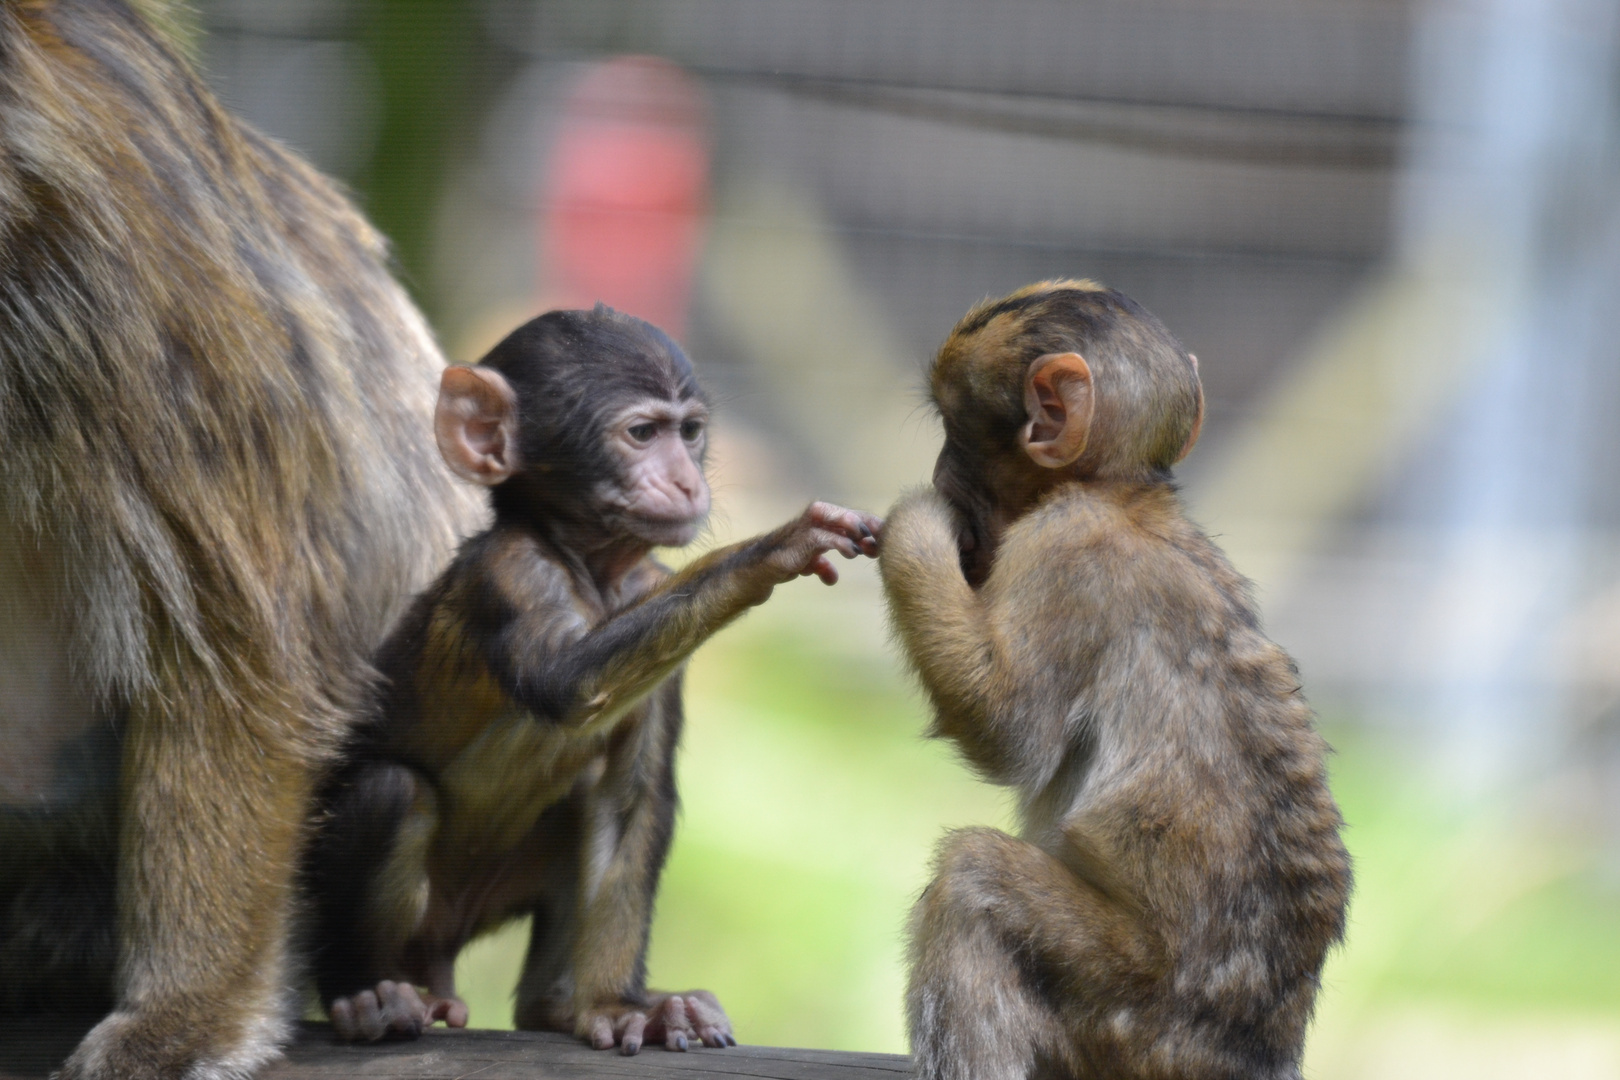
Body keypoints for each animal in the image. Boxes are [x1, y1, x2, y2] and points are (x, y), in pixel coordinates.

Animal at [304, 304, 887, 1055]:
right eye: (641, 434)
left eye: (689, 432)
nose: (687, 480)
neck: (593, 568)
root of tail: (438, 960)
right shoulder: (511, 573)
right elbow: (568, 683)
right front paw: (776, 548)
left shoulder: (649, 592)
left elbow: (629, 798)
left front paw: (615, 1004)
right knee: (390, 791)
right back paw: (363, 994)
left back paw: (556, 1005)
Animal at [881, 281, 1347, 1080]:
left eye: (952, 429)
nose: (940, 476)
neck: (1124, 492)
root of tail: (1255, 1046)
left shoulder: (1066, 547)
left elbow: (1005, 728)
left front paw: (912, 527)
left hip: (1129, 1011)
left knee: (972, 879)